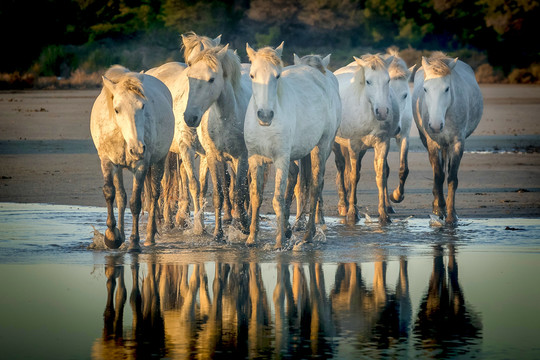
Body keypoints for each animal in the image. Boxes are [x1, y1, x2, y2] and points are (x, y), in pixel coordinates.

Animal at [90, 64, 174, 250]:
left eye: (142, 106)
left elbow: (136, 202)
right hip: (119, 168)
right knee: (121, 196)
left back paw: (149, 237)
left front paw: (134, 242)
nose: (137, 149)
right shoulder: (107, 162)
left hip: (159, 162)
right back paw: (120, 234)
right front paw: (112, 237)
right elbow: (110, 193)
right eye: (116, 109)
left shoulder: (141, 165)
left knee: (155, 195)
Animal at [179, 45, 251, 242]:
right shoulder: (214, 157)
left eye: (211, 79)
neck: (225, 118)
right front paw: (218, 234)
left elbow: (239, 193)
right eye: (189, 77)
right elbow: (219, 194)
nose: (190, 117)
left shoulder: (242, 157)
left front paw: (241, 228)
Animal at [246, 43, 342, 249]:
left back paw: (308, 235)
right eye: (252, 75)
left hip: (321, 147)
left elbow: (277, 199)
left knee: (315, 185)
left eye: (277, 76)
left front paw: (279, 242)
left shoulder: (281, 159)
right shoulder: (255, 158)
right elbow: (256, 196)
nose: (265, 115)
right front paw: (251, 238)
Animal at [334, 52, 400, 225]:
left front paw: (384, 214)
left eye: (388, 80)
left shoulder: (382, 144)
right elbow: (354, 176)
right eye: (368, 81)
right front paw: (352, 213)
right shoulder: (354, 145)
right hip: (336, 144)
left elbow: (380, 176)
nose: (382, 112)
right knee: (341, 167)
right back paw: (343, 205)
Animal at [412, 52, 484, 225]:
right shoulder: (432, 143)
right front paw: (439, 210)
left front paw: (451, 216)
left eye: (446, 88)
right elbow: (438, 175)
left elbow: (452, 177)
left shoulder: (457, 143)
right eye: (425, 89)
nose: (435, 125)